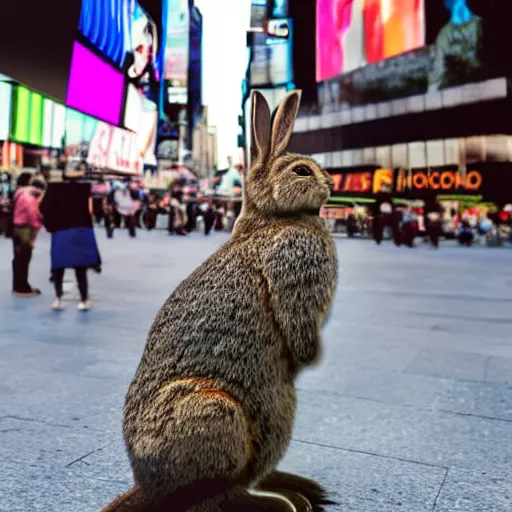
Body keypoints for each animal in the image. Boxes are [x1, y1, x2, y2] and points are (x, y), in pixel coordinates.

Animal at [101, 90, 338, 510]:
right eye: (300, 171)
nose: (332, 181)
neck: (274, 220)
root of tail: (149, 485)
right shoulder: (293, 274)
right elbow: (297, 323)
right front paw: (311, 357)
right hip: (220, 411)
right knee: (217, 496)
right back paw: (288, 500)